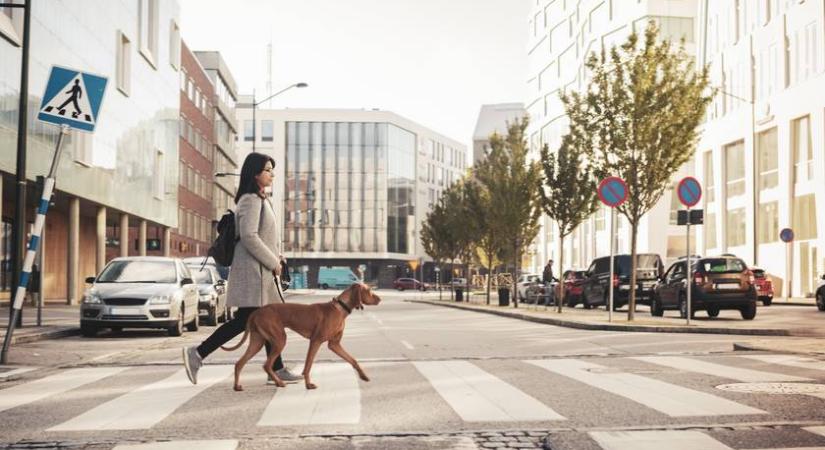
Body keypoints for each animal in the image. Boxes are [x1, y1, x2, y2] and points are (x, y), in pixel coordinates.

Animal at [224, 284, 382, 392]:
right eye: (369, 290)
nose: (380, 299)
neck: (340, 308)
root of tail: (256, 312)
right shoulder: (316, 341)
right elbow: (308, 365)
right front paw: (308, 384)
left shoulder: (334, 344)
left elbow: (352, 359)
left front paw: (363, 376)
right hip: (280, 339)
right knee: (266, 365)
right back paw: (279, 383)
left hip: (257, 342)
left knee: (239, 363)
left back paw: (237, 386)